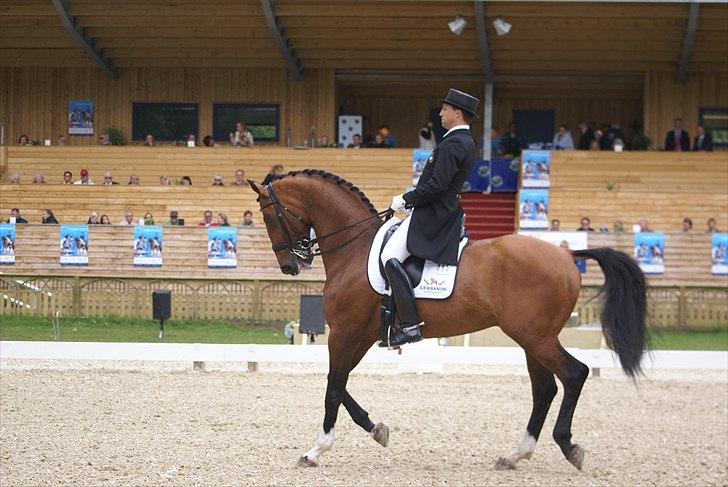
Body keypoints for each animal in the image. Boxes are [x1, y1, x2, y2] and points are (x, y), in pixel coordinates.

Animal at [247, 171, 644, 472]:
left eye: (268, 218)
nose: (290, 266)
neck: (354, 249)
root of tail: (566, 254)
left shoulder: (344, 332)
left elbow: (332, 387)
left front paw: (316, 450)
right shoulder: (361, 335)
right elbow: (338, 382)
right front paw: (377, 429)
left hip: (535, 336)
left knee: (574, 374)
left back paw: (567, 446)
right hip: (532, 338)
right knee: (545, 388)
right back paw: (516, 454)